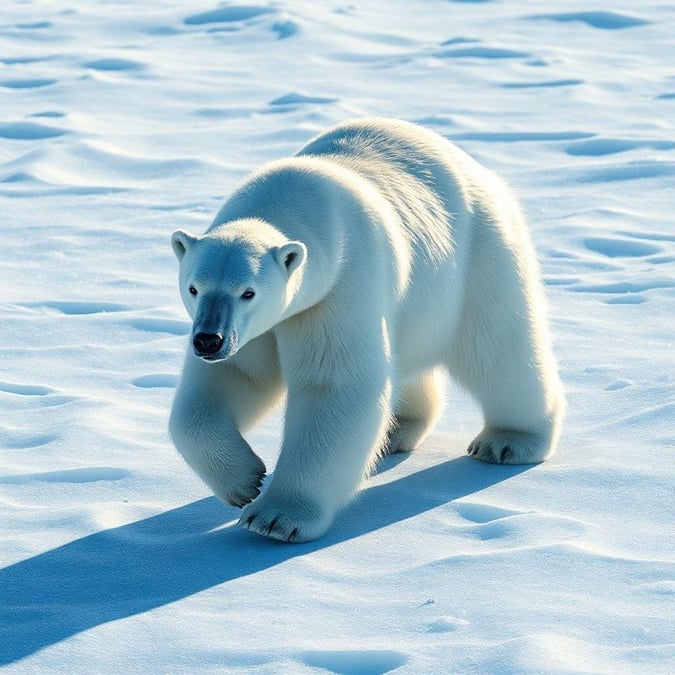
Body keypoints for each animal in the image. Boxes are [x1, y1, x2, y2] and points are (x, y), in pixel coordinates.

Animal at [170, 117, 564, 544]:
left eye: (248, 292)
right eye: (194, 287)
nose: (208, 340)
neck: (291, 201)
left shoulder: (341, 283)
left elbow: (334, 384)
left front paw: (276, 518)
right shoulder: (259, 328)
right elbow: (233, 377)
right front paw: (245, 481)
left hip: (480, 255)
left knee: (497, 348)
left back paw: (509, 442)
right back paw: (396, 431)